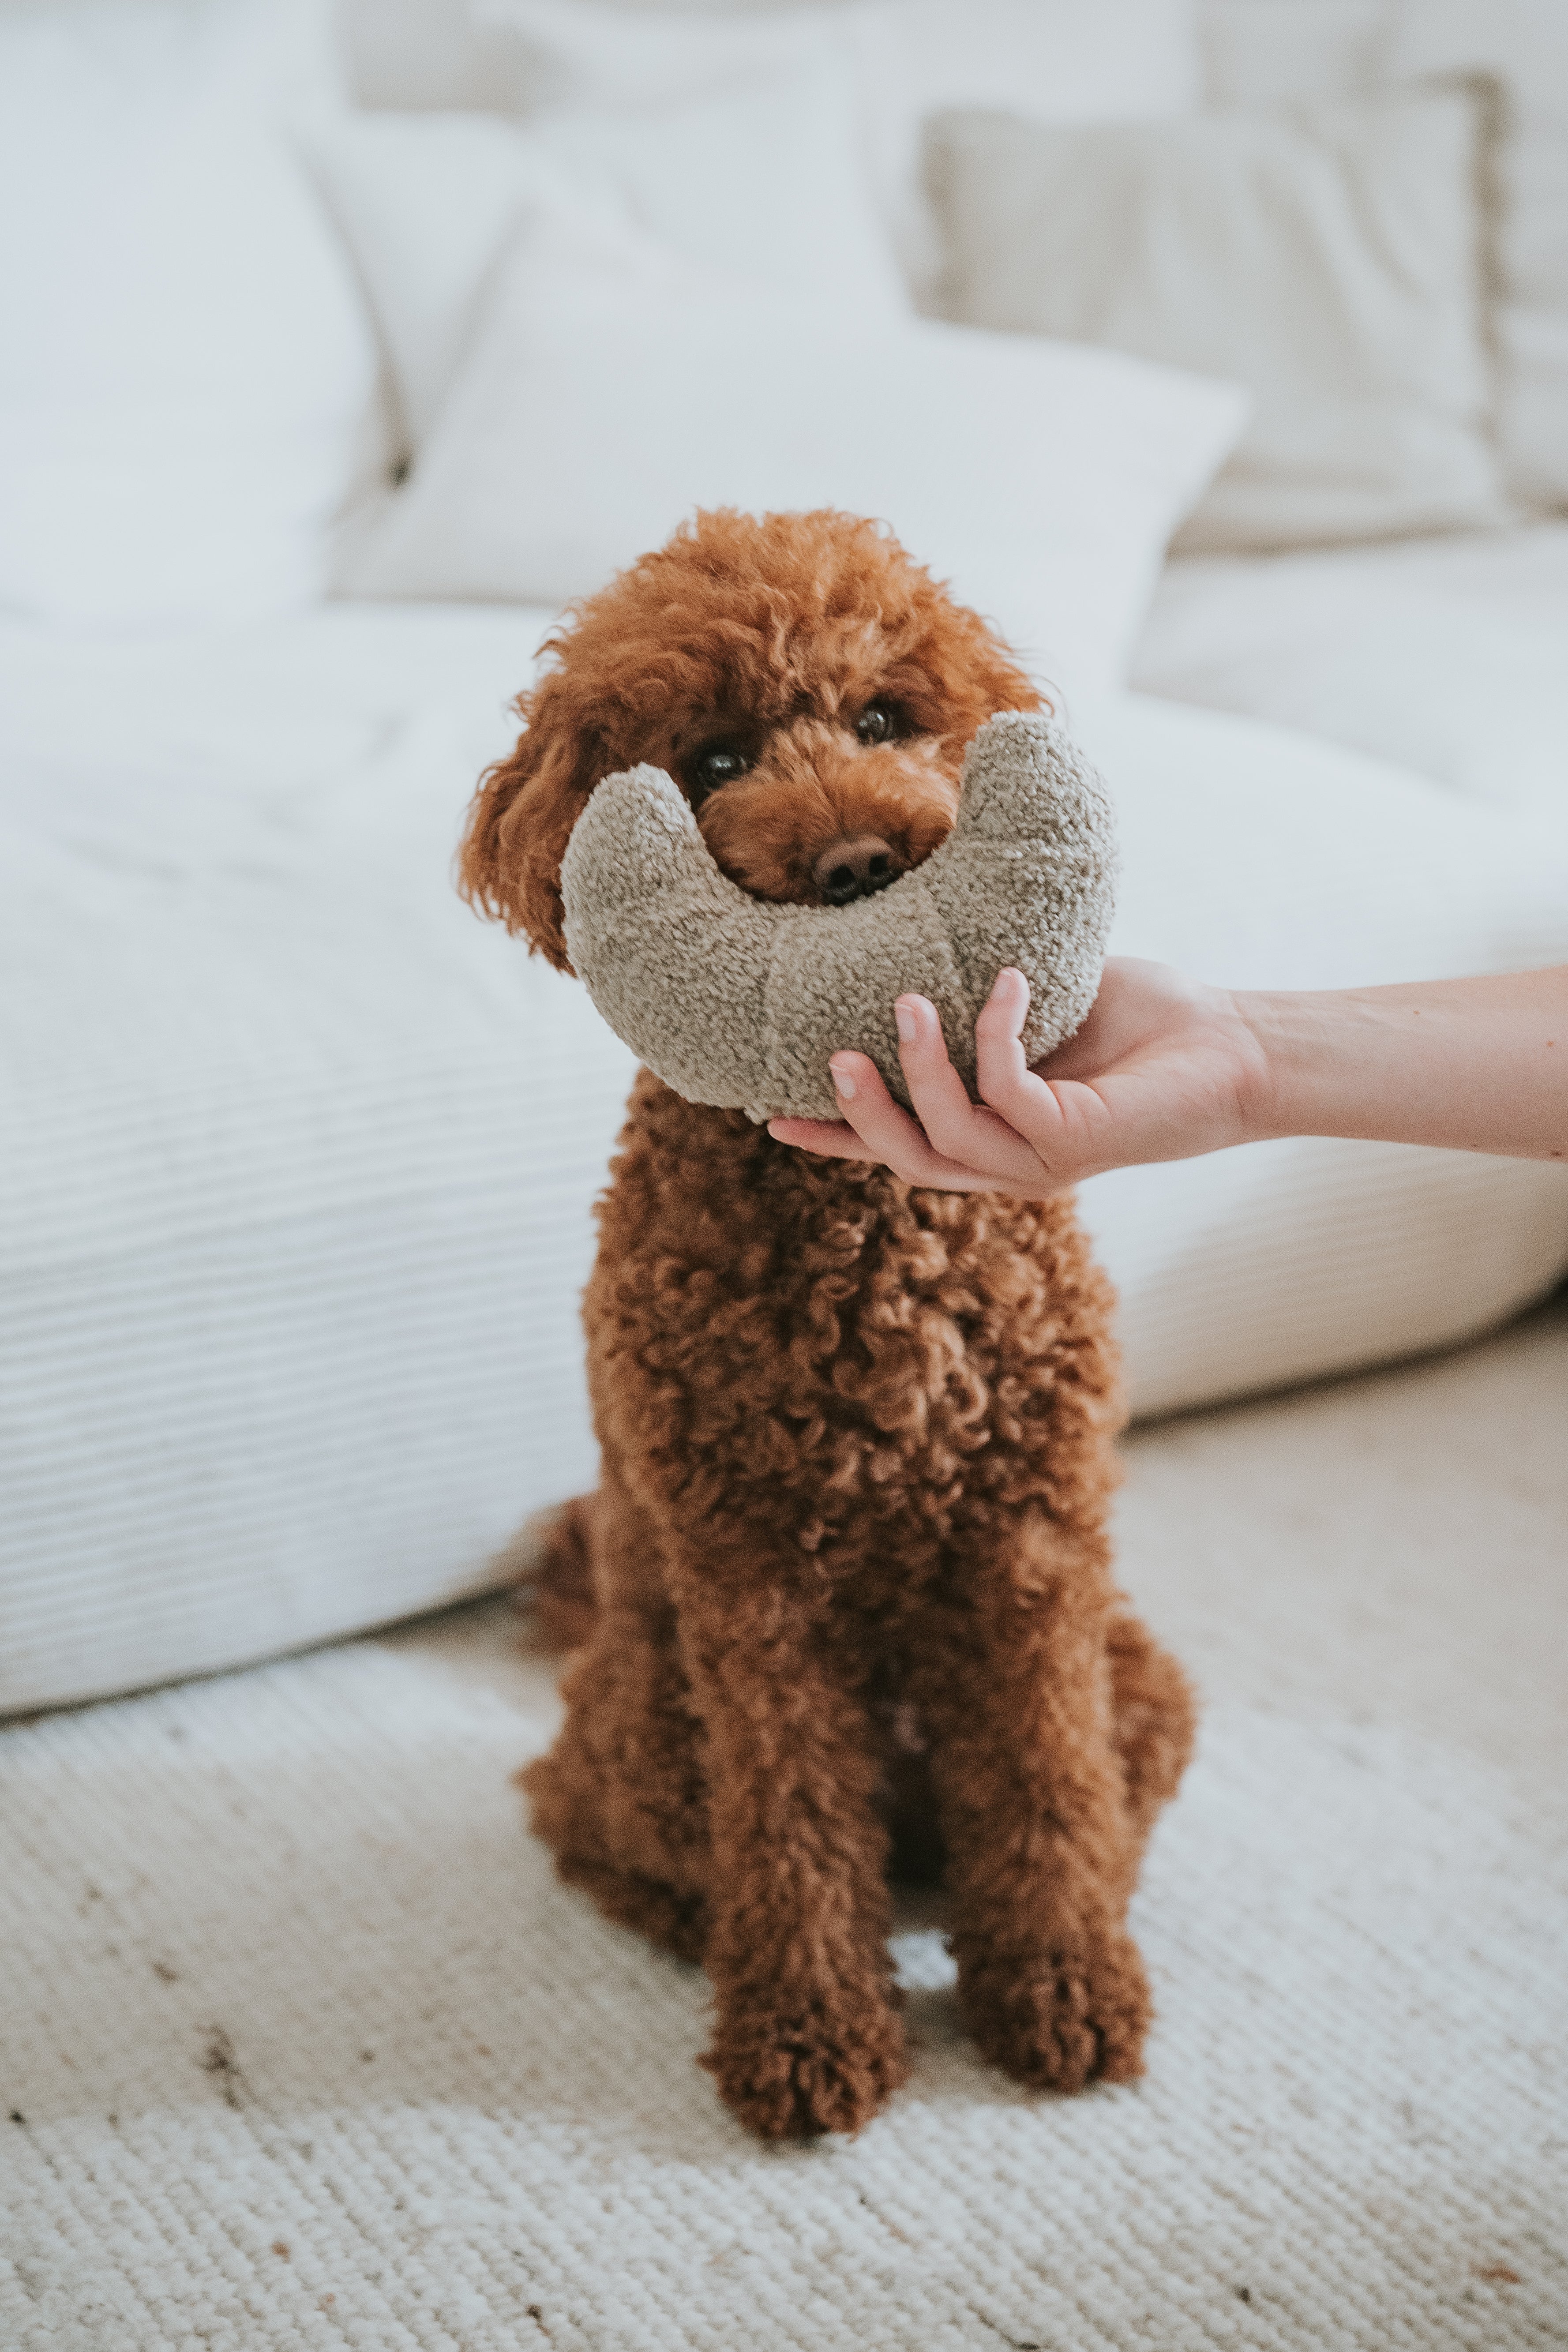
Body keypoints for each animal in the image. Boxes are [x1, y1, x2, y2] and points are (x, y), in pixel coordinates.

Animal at [461, 506, 1194, 2145]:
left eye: (880, 717)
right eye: (717, 759)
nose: (860, 859)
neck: (867, 1222)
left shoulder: (1032, 1546)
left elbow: (1045, 1790)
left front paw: (1058, 1992)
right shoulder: (751, 1587)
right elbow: (791, 1823)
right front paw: (805, 2041)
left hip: (1138, 1673)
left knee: (1081, 1811)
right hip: (649, 1721)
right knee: (593, 1825)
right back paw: (711, 1936)